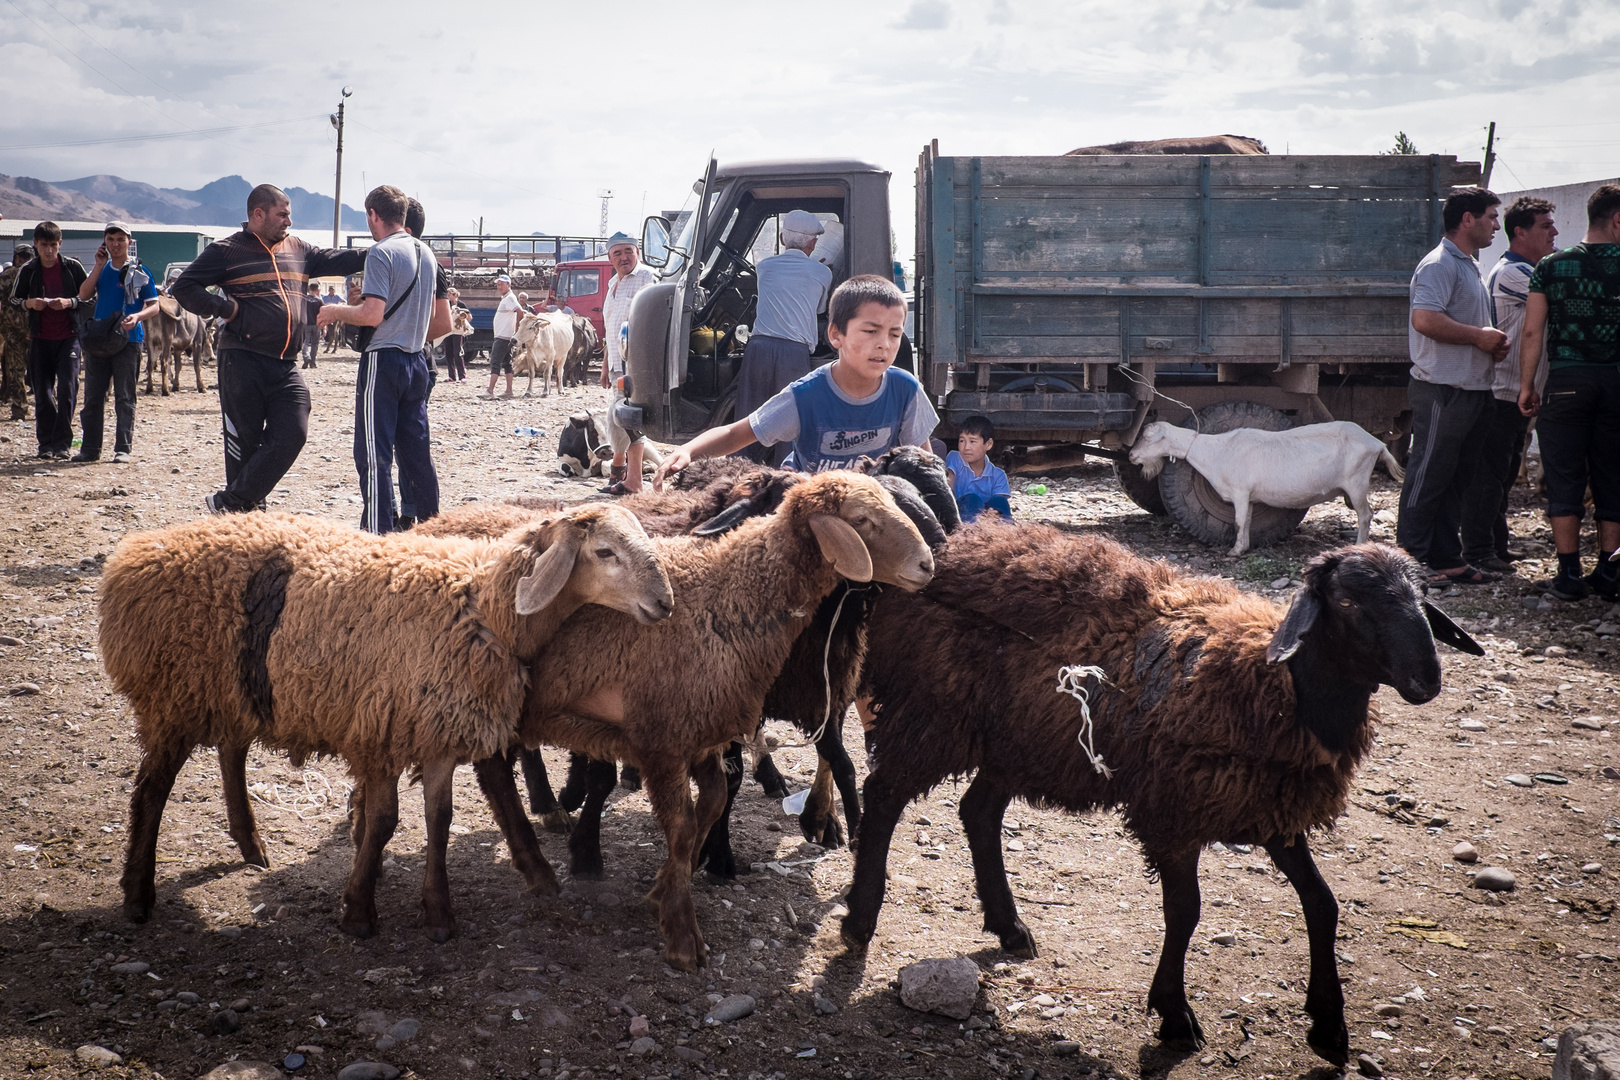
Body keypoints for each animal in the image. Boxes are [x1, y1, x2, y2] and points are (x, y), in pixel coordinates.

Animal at [96, 508, 670, 939]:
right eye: (605, 552)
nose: (664, 603)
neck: (482, 605)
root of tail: (132, 554)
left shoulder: (438, 734)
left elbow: (438, 820)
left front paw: (438, 914)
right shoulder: (382, 733)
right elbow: (384, 821)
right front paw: (358, 911)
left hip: (233, 690)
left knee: (230, 752)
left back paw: (249, 844)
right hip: (173, 696)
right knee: (150, 792)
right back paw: (138, 896)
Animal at [473, 472, 939, 971]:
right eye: (862, 519)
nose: (927, 566)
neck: (728, 591)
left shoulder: (702, 734)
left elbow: (711, 805)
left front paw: (667, 885)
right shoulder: (662, 738)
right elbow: (681, 827)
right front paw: (682, 933)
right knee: (498, 772)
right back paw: (541, 840)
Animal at [842, 527, 1483, 1068]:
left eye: (1423, 595)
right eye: (1348, 603)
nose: (1427, 679)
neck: (1281, 690)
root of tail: (949, 549)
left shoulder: (1270, 812)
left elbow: (1322, 906)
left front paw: (1329, 1027)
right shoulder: (1174, 812)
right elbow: (1186, 912)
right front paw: (1175, 1016)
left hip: (1017, 738)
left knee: (977, 812)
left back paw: (1008, 925)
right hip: (937, 715)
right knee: (884, 798)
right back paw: (860, 919)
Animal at [1127, 420, 1406, 557]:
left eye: (1147, 437)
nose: (1131, 455)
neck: (1216, 450)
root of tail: (1378, 443)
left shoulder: (1239, 491)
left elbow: (1239, 521)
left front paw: (1235, 551)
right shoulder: (1249, 496)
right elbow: (1248, 521)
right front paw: (1245, 546)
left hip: (1356, 482)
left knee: (1365, 515)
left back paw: (1358, 546)